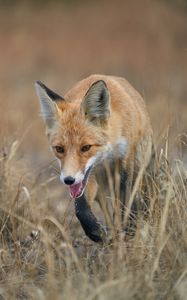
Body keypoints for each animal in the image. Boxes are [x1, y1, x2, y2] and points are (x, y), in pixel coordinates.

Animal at [35, 74, 153, 241]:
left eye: (86, 147)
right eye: (59, 149)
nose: (68, 180)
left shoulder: (125, 165)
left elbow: (123, 205)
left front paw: (125, 232)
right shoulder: (88, 176)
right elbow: (81, 209)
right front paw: (97, 232)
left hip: (139, 167)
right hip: (100, 188)